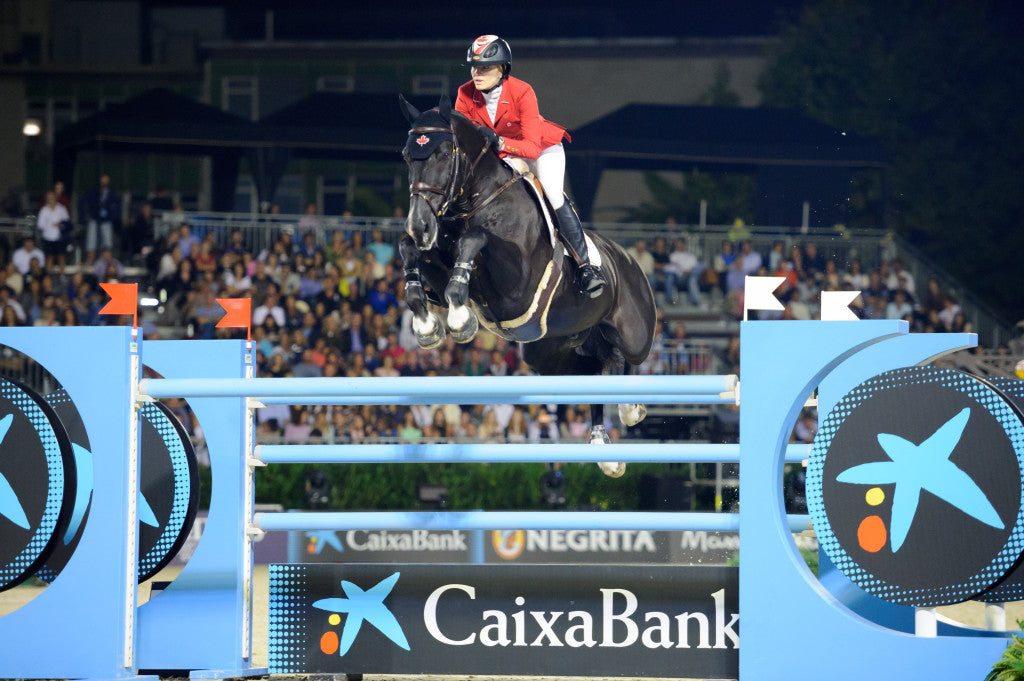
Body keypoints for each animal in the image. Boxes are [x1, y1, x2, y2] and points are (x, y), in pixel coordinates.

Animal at [399, 95, 655, 477]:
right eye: (405, 155)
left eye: (444, 153)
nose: (420, 225)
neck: (479, 200)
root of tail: (628, 259)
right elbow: (410, 251)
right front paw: (427, 323)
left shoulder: (516, 288)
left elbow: (475, 239)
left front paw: (460, 320)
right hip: (548, 352)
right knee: (593, 370)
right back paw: (603, 447)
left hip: (635, 332)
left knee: (624, 356)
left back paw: (629, 409)